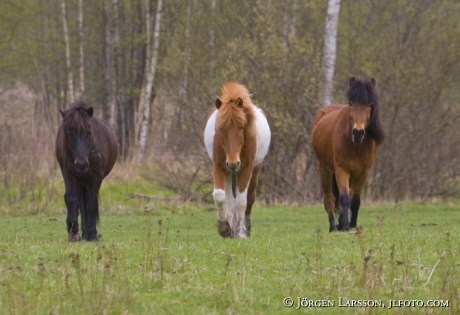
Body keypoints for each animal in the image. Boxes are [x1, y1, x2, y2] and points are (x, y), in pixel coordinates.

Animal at [55, 101, 117, 242]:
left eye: (88, 133)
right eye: (69, 134)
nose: (81, 164)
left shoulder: (96, 178)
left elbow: (91, 205)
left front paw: (93, 235)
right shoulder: (68, 174)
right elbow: (71, 199)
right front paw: (73, 231)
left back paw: (88, 234)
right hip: (80, 182)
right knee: (82, 205)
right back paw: (84, 235)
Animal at [204, 82, 270, 238]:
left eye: (241, 127)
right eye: (221, 128)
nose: (233, 163)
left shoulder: (246, 168)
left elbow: (241, 201)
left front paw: (240, 233)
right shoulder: (219, 166)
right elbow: (220, 196)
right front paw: (224, 228)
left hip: (254, 171)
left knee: (250, 198)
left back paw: (245, 228)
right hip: (229, 173)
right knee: (229, 199)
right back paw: (230, 229)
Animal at [312, 77, 384, 232]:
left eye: (370, 105)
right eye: (351, 103)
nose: (358, 132)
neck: (355, 146)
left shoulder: (363, 173)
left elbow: (355, 201)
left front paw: (352, 225)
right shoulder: (341, 170)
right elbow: (345, 198)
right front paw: (345, 225)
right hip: (324, 170)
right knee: (329, 198)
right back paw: (334, 227)